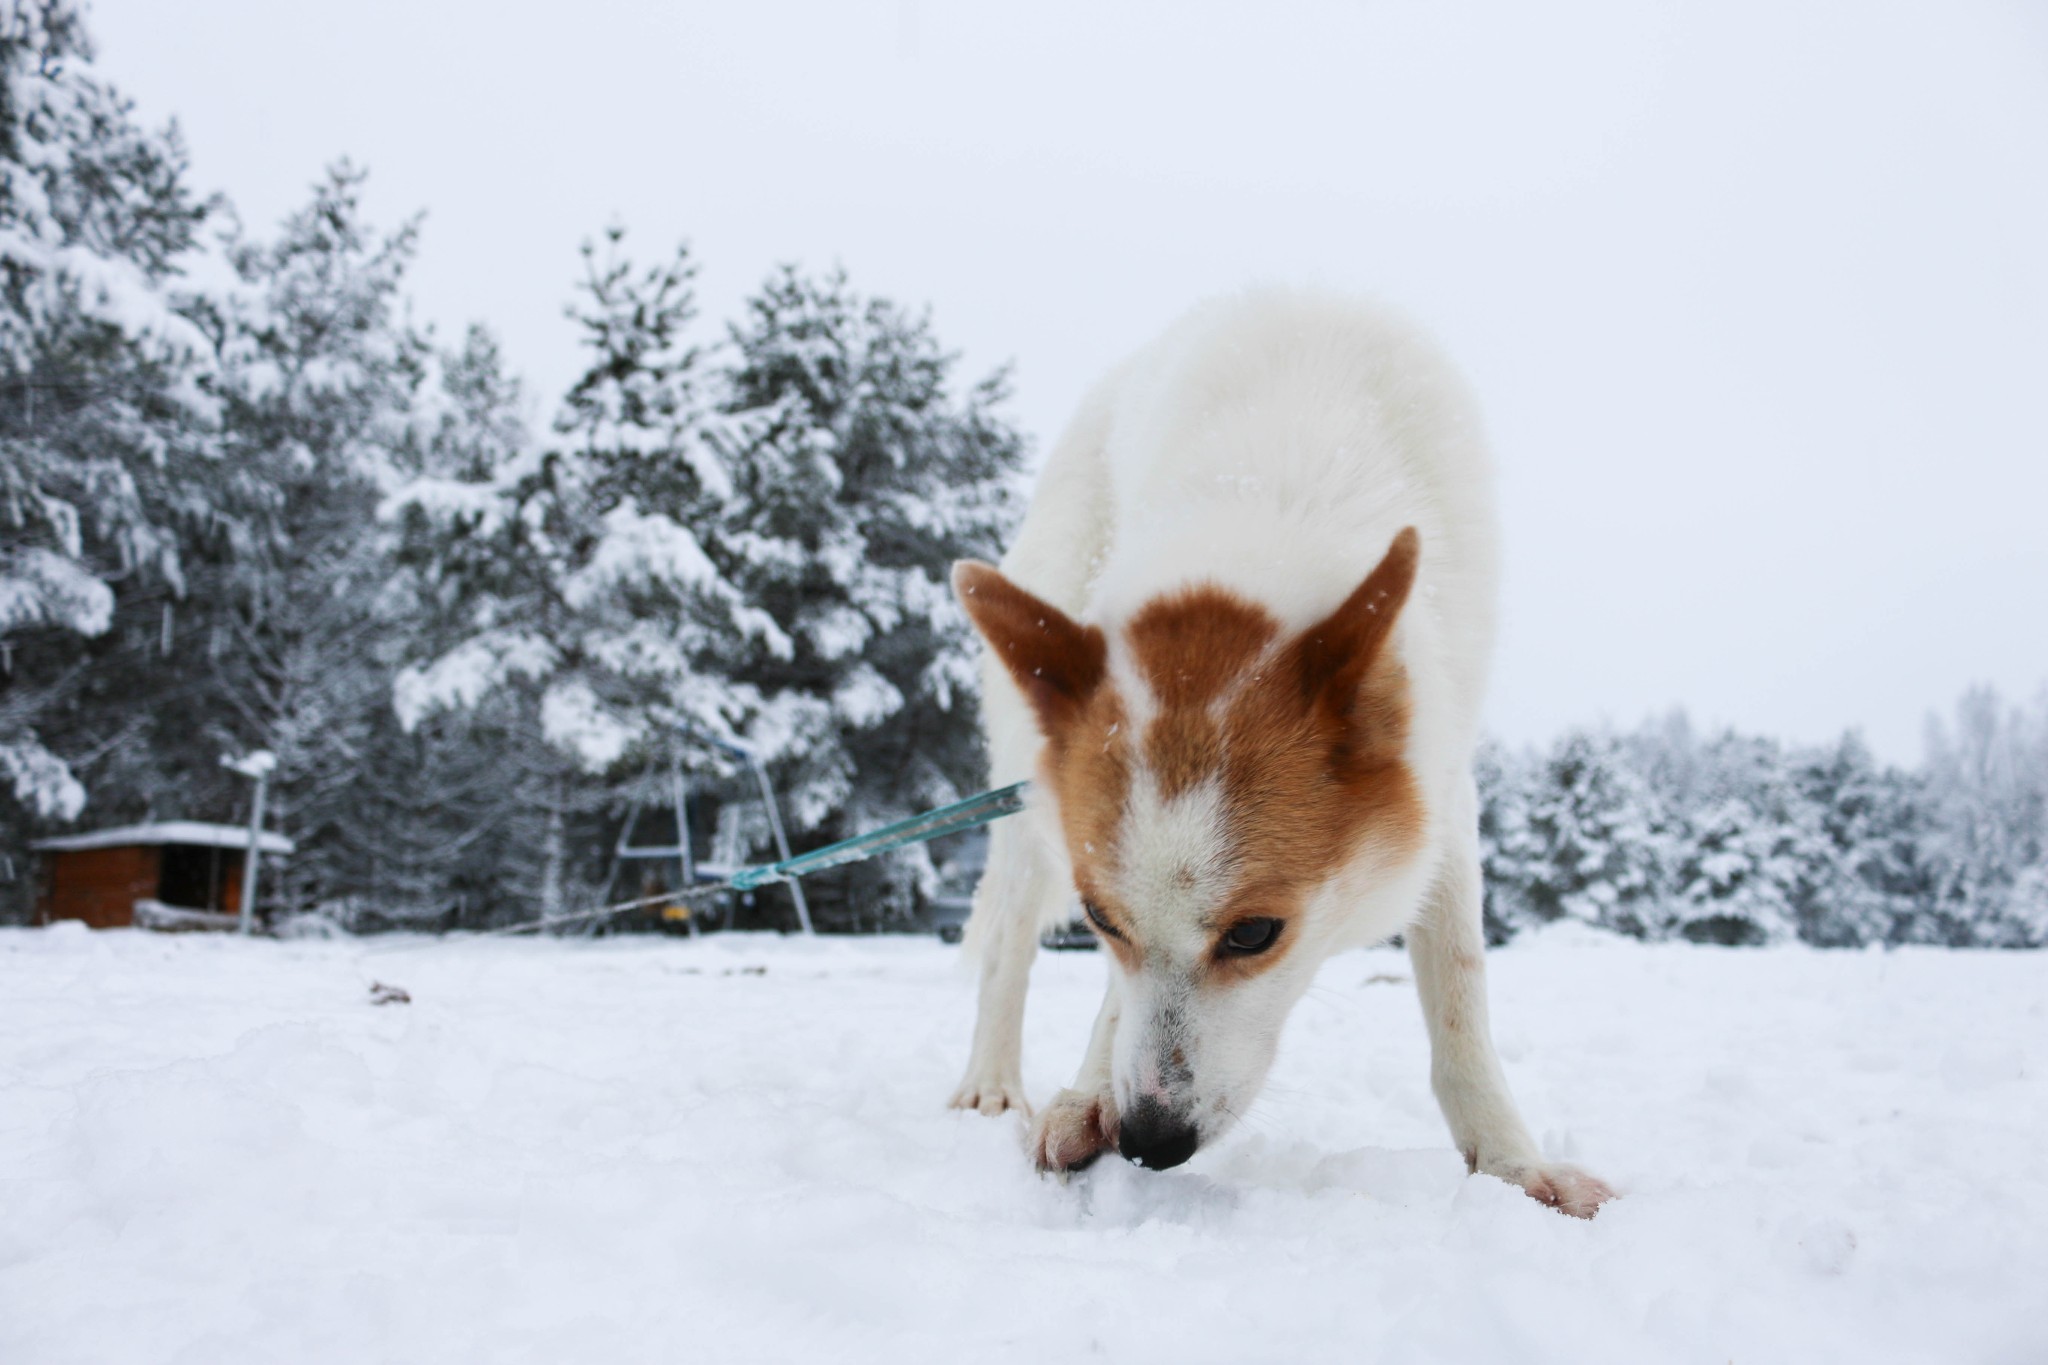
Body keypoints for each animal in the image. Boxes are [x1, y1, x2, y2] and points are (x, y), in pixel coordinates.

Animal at [954, 286, 1613, 1219]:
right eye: (1101, 921)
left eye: (1255, 933)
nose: (1151, 1140)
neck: (1275, 498)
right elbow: (1113, 1002)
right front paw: (1088, 1094)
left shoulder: (1440, 788)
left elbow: (1459, 990)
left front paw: (1512, 1163)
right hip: (1023, 778)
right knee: (1006, 945)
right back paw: (990, 1081)